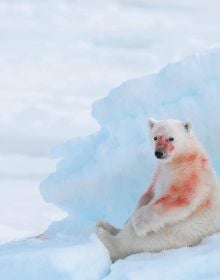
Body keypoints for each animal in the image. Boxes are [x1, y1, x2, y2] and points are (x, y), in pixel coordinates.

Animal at [96, 117, 220, 260]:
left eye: (171, 138)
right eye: (155, 137)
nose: (159, 153)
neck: (181, 159)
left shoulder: (191, 173)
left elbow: (179, 198)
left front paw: (138, 224)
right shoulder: (159, 172)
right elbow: (148, 193)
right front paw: (130, 217)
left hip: (176, 233)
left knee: (133, 242)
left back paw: (103, 234)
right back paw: (106, 226)